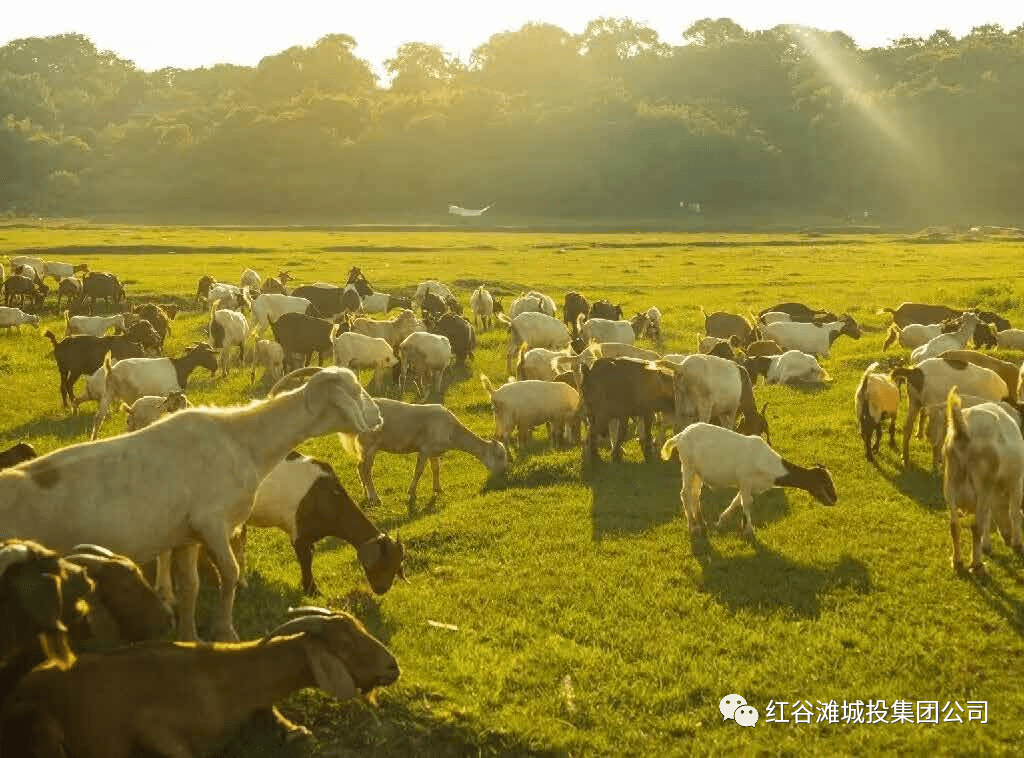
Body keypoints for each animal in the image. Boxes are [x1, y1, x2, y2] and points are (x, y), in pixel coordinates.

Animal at [237, 452, 405, 594]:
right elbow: (305, 561)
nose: (382, 590)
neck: (327, 498)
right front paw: (312, 591)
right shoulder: (299, 536)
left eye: (397, 566)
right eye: (383, 565)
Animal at [339, 399, 507, 506]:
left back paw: (366, 494)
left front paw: (438, 489)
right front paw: (411, 492)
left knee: (360, 468)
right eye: (500, 455)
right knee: (366, 470)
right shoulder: (425, 449)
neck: (453, 433)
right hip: (369, 444)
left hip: (365, 447)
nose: (504, 473)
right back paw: (375, 498)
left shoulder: (434, 450)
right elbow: (419, 471)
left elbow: (436, 469)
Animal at [659, 419, 835, 540]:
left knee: (695, 493)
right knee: (685, 493)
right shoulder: (745, 479)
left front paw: (722, 521)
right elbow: (747, 502)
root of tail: (680, 436)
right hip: (687, 466)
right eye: (825, 482)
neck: (767, 462)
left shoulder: (748, 484)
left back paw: (701, 523)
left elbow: (738, 501)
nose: (834, 500)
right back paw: (693, 528)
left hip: (697, 472)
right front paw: (748, 530)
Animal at [942, 387, 1024, 569]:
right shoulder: (1015, 481)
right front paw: (1017, 543)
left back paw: (957, 561)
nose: (1007, 538)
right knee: (975, 526)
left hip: (950, 486)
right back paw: (976, 563)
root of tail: (963, 431)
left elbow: (989, 516)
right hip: (982, 486)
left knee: (954, 525)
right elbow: (1014, 512)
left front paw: (986, 545)